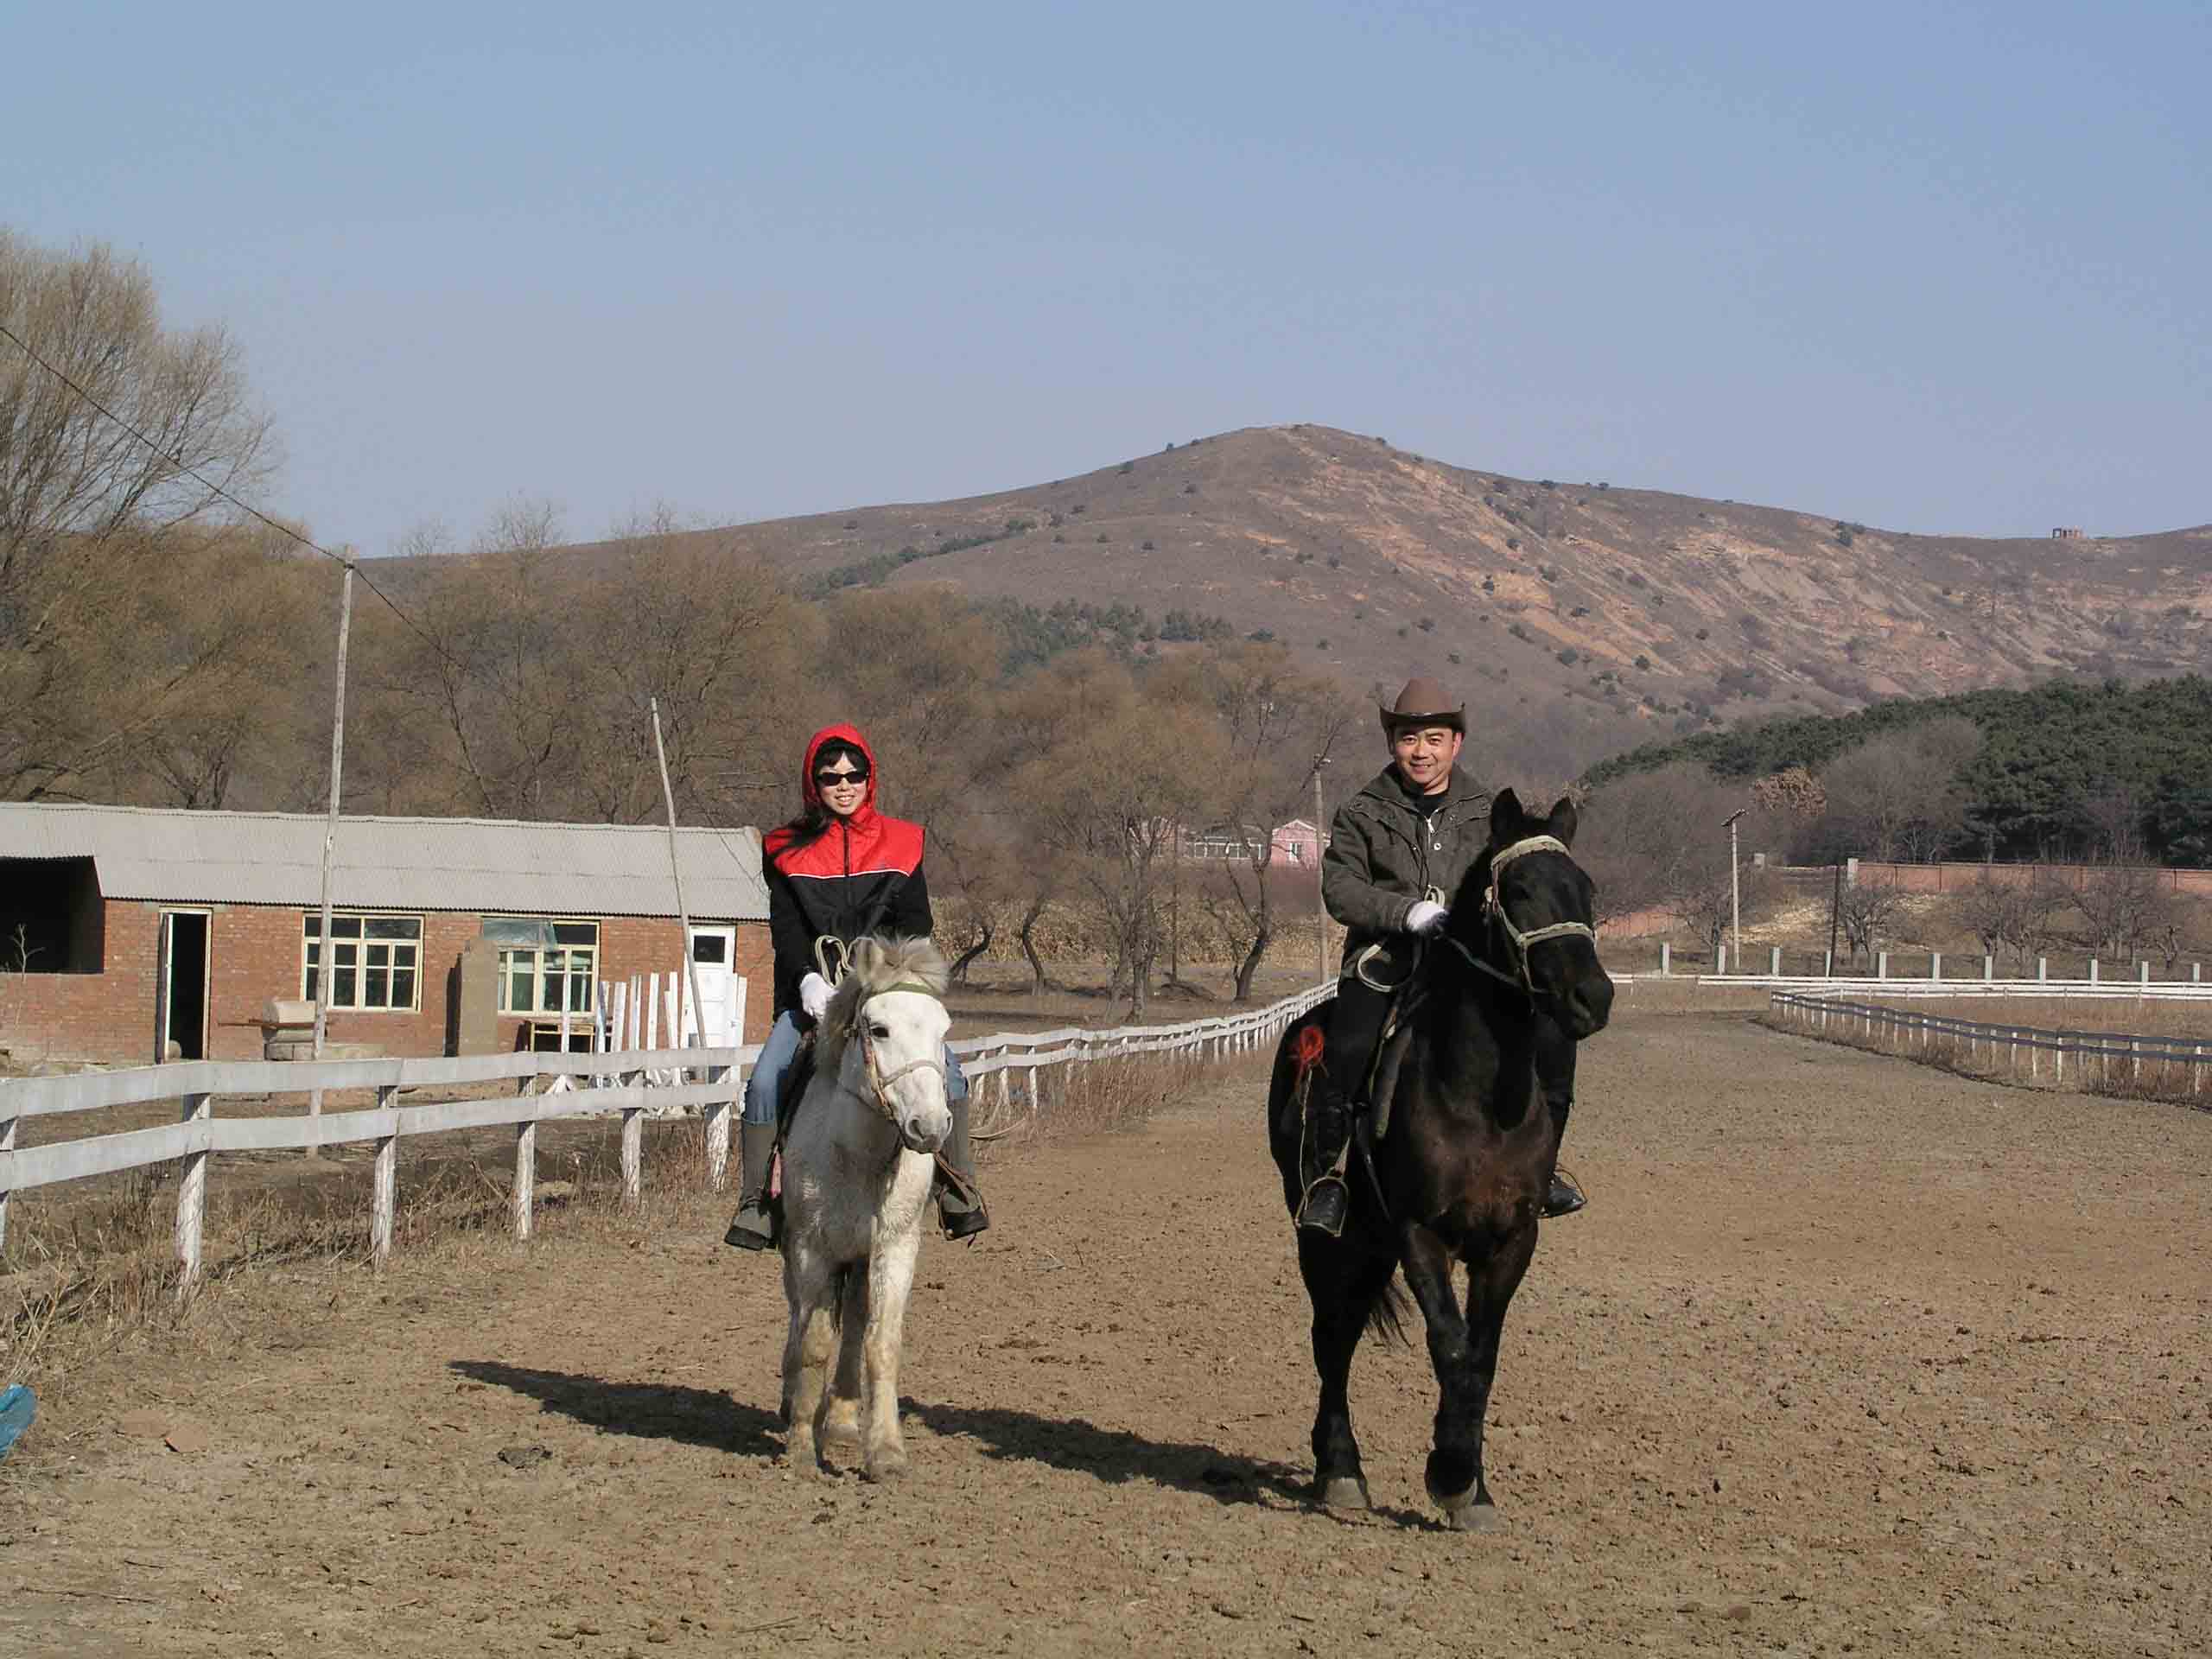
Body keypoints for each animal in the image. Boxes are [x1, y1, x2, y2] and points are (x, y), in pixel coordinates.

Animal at [779, 938, 950, 1478]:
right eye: (879, 1029)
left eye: (943, 1031)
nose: (929, 1126)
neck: (858, 1158)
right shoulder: (811, 1249)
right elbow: (814, 1344)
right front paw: (798, 1447)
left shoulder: (895, 1249)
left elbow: (882, 1344)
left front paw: (887, 1450)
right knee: (798, 1318)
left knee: (855, 1326)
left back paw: (842, 1421)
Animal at [1274, 791, 1618, 1530]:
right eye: (1519, 890)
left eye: (1586, 889)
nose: (1593, 997)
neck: (1482, 1098)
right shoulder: (1420, 1234)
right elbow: (1451, 1344)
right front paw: (1451, 1474)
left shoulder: (1512, 1239)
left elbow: (1481, 1357)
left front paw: (1475, 1490)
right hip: (1330, 1241)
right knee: (1332, 1338)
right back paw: (1339, 1470)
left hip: (1373, 1247)